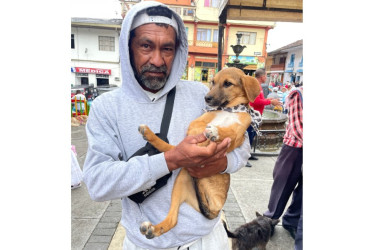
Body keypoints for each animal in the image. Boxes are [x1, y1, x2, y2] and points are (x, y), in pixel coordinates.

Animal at [137, 67, 260, 239]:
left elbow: (229, 133)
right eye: (213, 82)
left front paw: (216, 132)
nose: (207, 98)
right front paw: (210, 133)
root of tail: (215, 209)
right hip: (180, 181)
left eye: (228, 83)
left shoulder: (238, 135)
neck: (229, 110)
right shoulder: (197, 123)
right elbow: (199, 130)